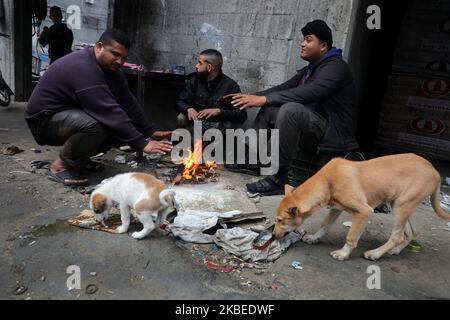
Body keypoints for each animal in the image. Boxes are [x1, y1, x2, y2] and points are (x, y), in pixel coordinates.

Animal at [274, 154, 450, 262]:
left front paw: (343, 253)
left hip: (402, 206)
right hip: (400, 204)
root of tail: (434, 170)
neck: (327, 180)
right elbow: (324, 225)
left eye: (281, 221)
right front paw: (314, 238)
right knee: (410, 233)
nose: (274, 236)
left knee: (397, 236)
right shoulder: (336, 208)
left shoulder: (364, 212)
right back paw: (395, 251)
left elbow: (351, 237)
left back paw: (375, 254)